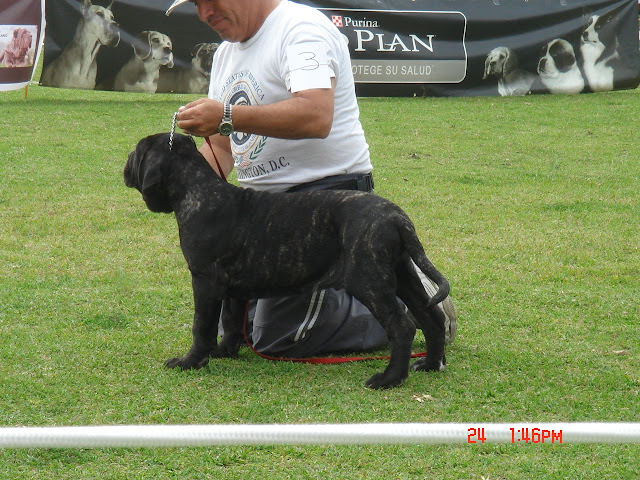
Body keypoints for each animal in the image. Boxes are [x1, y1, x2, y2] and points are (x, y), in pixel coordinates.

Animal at [125, 133, 450, 388]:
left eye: (137, 152)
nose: (125, 163)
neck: (197, 190)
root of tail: (396, 216)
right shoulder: (233, 289)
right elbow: (230, 321)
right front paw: (224, 351)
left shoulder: (205, 281)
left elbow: (201, 325)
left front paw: (191, 361)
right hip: (402, 274)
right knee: (432, 317)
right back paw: (430, 364)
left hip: (368, 280)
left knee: (402, 326)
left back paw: (389, 378)